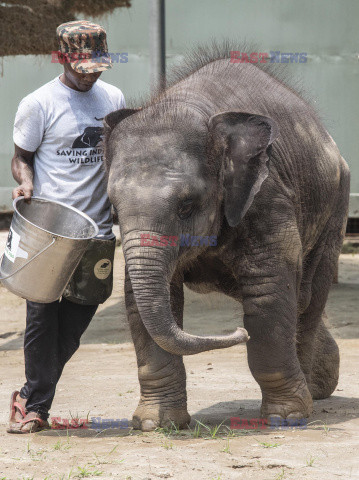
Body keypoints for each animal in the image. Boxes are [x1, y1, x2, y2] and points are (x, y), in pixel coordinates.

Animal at [103, 44, 348, 432]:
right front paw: (155, 425)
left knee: (308, 298)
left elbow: (267, 290)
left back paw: (310, 392)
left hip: (335, 205)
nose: (237, 333)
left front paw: (286, 417)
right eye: (112, 208)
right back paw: (321, 385)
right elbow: (139, 300)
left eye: (187, 205)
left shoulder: (266, 195)